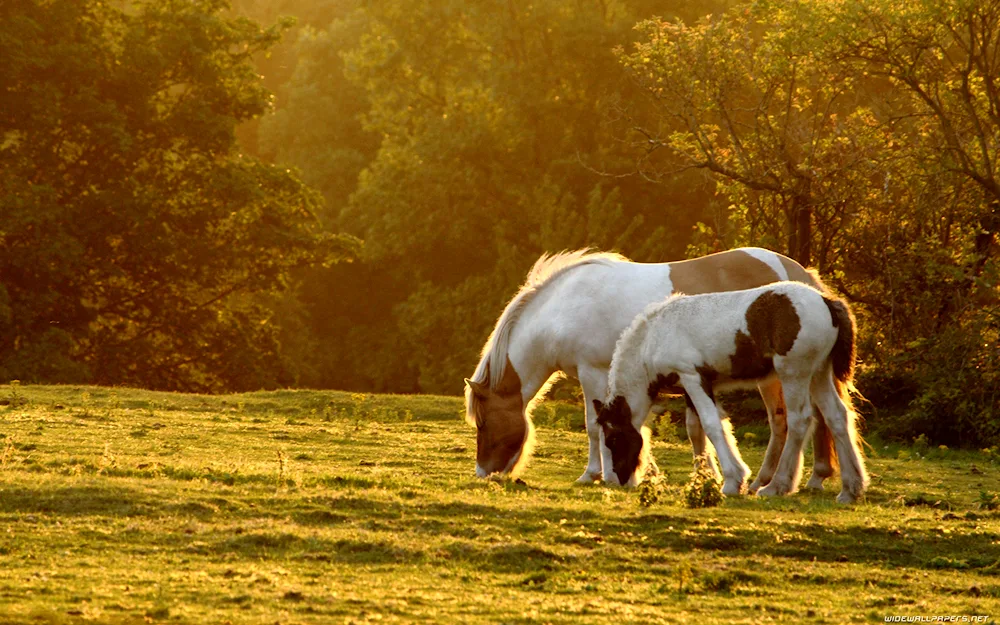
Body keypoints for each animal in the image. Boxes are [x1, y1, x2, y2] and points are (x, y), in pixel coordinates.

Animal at [464, 247, 840, 488]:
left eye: (483, 423)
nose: (483, 473)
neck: (564, 308)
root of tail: (801, 275)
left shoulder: (592, 372)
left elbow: (593, 425)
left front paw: (594, 474)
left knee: (793, 420)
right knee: (803, 419)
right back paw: (795, 478)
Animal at [592, 282, 868, 502]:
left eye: (613, 438)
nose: (621, 478)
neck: (654, 336)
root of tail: (826, 301)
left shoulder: (691, 377)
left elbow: (711, 425)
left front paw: (732, 481)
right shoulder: (697, 386)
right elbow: (700, 430)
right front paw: (710, 478)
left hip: (794, 373)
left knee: (799, 421)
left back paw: (776, 486)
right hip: (819, 373)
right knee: (837, 416)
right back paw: (850, 489)